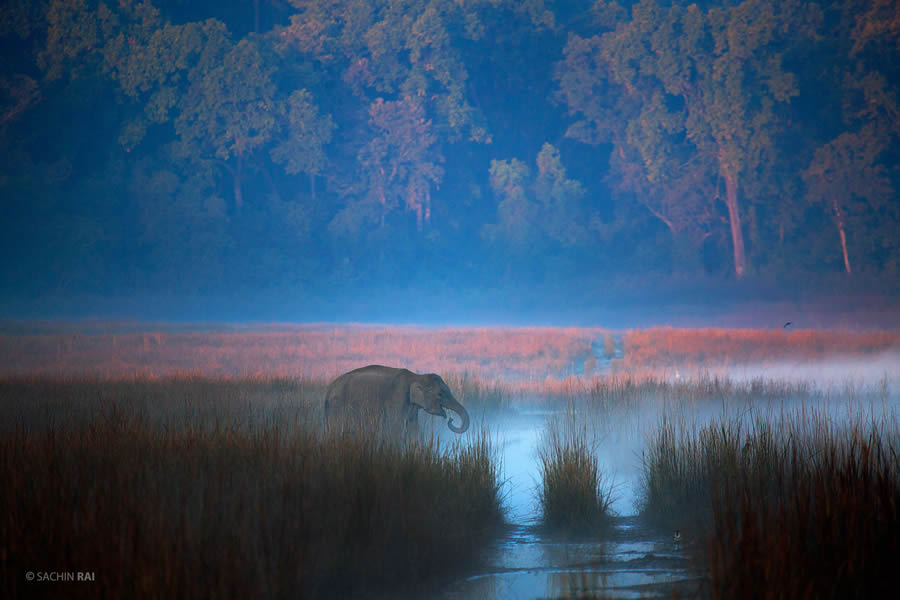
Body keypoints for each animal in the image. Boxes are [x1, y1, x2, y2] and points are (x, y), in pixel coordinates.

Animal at [324, 366, 472, 436]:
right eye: (440, 394)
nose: (450, 419)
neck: (416, 376)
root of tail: (328, 390)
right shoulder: (397, 397)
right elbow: (395, 426)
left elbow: (413, 428)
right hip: (338, 405)